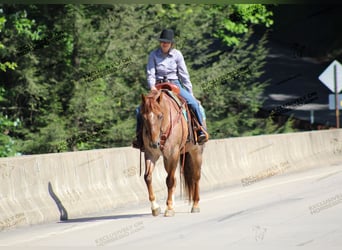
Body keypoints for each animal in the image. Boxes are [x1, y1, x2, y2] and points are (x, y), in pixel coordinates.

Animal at [139, 86, 203, 217]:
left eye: (160, 116)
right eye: (143, 117)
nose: (154, 143)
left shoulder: (173, 153)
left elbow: (169, 180)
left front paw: (168, 208)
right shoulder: (151, 154)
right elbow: (148, 177)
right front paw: (155, 207)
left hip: (196, 152)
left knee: (196, 177)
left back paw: (195, 205)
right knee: (174, 178)